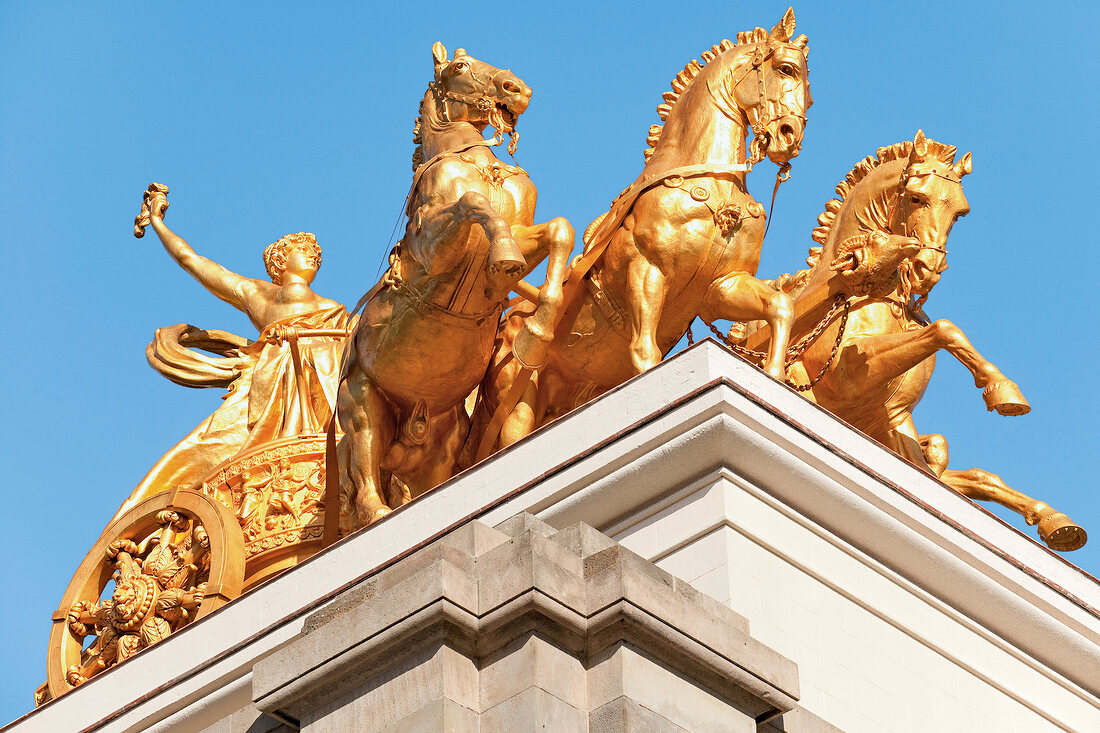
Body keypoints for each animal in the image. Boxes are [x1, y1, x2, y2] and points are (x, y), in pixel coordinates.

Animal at [338, 44, 572, 526]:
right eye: (461, 66)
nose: (517, 89)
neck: (479, 163)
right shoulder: (431, 250)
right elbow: (474, 202)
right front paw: (502, 253)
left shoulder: (526, 229)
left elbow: (560, 229)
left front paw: (536, 333)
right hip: (363, 404)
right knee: (367, 470)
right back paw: (378, 513)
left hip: (442, 447)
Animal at [475, 7, 818, 457]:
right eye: (785, 69)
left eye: (809, 96)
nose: (789, 139)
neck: (714, 186)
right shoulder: (647, 270)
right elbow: (645, 351)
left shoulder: (721, 289)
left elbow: (781, 306)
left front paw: (775, 380)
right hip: (519, 399)